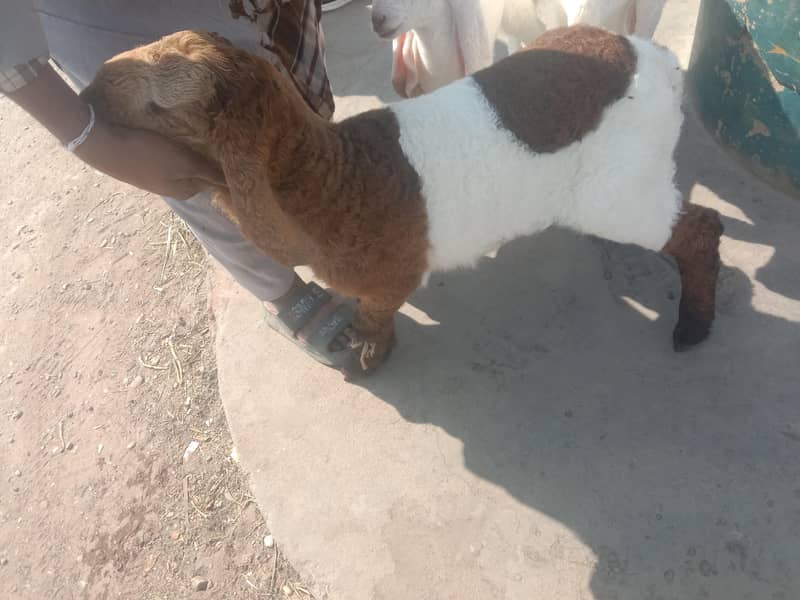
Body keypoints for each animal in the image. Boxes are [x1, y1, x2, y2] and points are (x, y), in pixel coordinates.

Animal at [82, 26, 723, 376]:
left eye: (162, 106)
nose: (89, 91)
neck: (336, 176)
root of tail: (658, 60)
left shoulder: (391, 275)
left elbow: (377, 311)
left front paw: (370, 351)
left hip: (621, 191)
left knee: (699, 227)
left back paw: (693, 327)